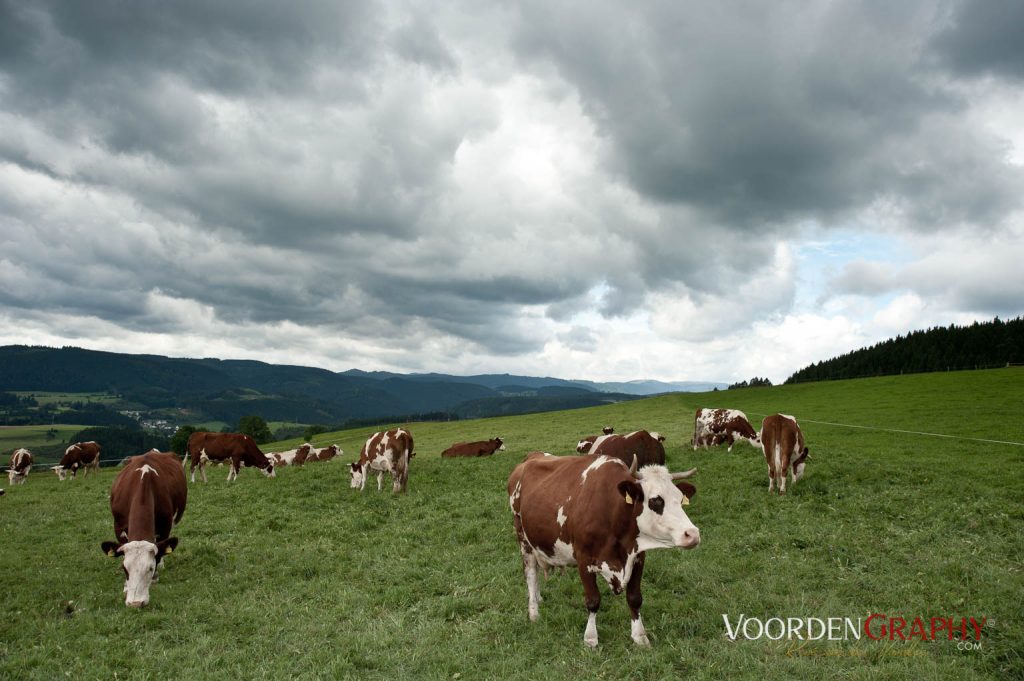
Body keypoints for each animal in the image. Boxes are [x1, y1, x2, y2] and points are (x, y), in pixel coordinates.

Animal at [101, 450, 188, 606]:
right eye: (124, 568)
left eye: (150, 568)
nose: (135, 603)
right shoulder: (118, 526)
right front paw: (126, 586)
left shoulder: (165, 525)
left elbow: (159, 552)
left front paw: (155, 576)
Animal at [507, 450, 700, 647]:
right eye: (656, 501)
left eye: (681, 500)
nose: (692, 534)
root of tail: (532, 456)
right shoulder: (583, 559)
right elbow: (593, 600)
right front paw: (590, 638)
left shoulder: (638, 556)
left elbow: (635, 598)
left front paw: (639, 636)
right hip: (523, 537)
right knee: (531, 573)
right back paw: (534, 612)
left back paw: (538, 598)